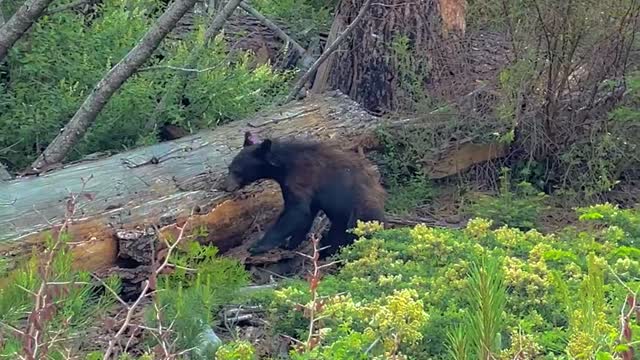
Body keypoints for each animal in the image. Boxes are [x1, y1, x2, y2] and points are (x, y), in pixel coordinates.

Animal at [222, 132, 388, 256]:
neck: (283, 165)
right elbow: (306, 215)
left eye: (236, 171)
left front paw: (258, 245)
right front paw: (290, 243)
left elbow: (296, 211)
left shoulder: (301, 179)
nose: (225, 186)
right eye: (229, 168)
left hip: (360, 213)